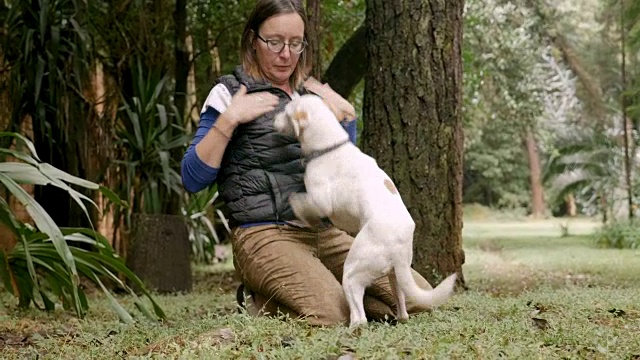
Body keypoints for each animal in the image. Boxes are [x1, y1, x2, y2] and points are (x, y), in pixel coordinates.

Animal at [272, 94, 458, 328]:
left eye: (286, 112)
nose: (272, 119)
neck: (330, 146)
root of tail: (399, 245)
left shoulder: (320, 201)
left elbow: (301, 204)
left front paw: (295, 210)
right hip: (396, 277)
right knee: (402, 309)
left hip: (352, 272)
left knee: (359, 316)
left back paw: (352, 328)